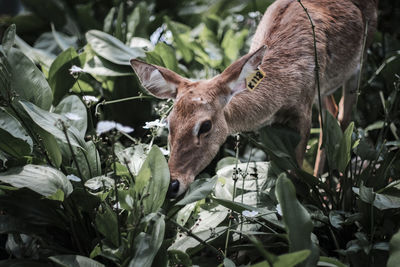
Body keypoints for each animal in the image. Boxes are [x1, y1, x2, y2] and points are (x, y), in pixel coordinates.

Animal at [130, 0, 378, 198]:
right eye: (169, 123)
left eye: (205, 125)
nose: (172, 184)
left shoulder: (303, 109)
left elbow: (296, 172)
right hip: (325, 87)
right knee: (332, 116)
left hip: (360, 59)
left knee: (344, 117)